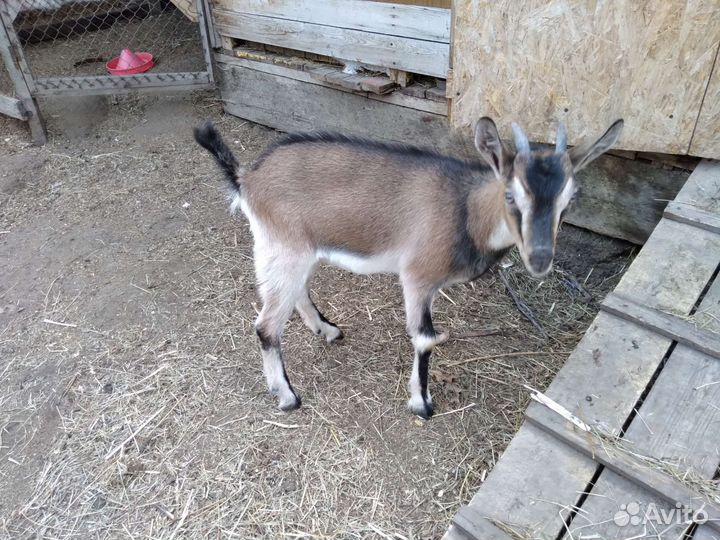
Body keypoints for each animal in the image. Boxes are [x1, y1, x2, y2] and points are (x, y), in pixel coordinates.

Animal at [194, 117, 623, 418]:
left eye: (570, 198)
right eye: (511, 195)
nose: (539, 258)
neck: (465, 210)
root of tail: (247, 177)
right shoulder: (417, 276)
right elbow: (423, 338)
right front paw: (422, 404)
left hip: (299, 251)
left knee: (296, 294)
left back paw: (328, 331)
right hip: (282, 248)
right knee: (267, 325)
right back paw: (287, 396)